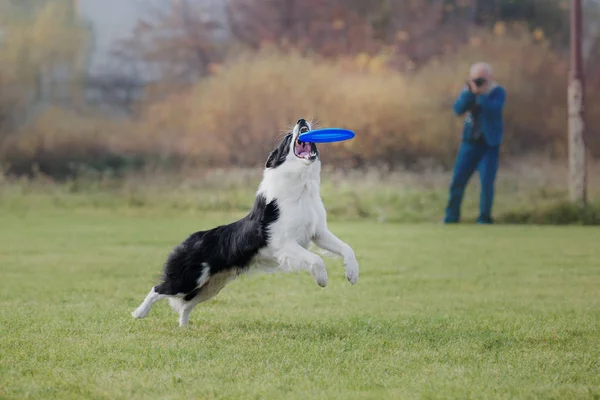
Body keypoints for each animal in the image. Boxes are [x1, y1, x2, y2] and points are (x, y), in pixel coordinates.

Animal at [131, 118, 358, 324]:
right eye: (287, 138)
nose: (301, 120)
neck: (302, 185)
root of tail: (188, 240)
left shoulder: (318, 232)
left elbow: (346, 248)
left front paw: (352, 274)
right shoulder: (282, 243)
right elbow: (316, 259)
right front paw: (322, 279)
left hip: (211, 286)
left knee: (185, 306)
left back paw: (184, 328)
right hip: (190, 278)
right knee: (158, 289)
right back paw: (138, 313)